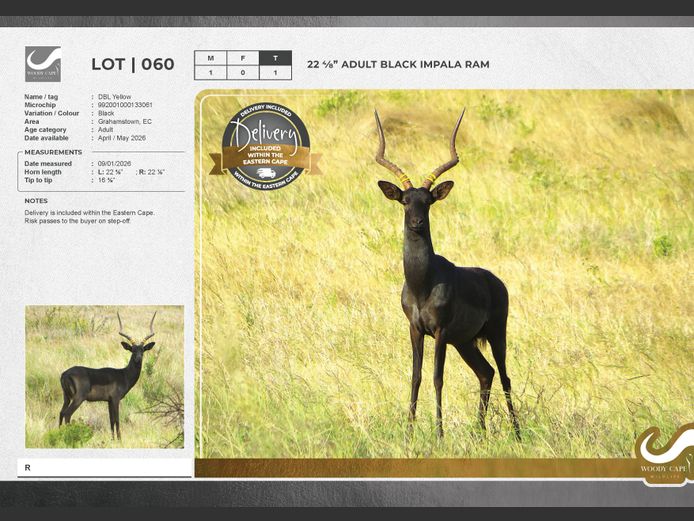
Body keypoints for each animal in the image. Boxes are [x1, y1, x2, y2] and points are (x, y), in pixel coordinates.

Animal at [59, 311, 157, 440]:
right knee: (67, 414)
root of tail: (64, 374)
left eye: (143, 350)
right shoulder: (115, 399)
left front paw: (113, 439)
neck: (124, 375)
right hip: (78, 398)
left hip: (66, 397)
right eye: (132, 350)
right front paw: (119, 440)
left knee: (61, 412)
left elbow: (111, 421)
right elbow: (117, 420)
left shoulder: (109, 401)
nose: (138, 359)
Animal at [374, 109, 521, 440]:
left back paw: (519, 433)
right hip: (465, 342)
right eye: (405, 200)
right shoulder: (415, 329)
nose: (416, 223)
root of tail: (496, 282)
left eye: (428, 201)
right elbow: (415, 377)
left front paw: (439, 434)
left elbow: (437, 378)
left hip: (496, 333)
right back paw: (479, 431)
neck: (422, 284)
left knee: (505, 376)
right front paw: (409, 433)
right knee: (486, 373)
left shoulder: (439, 331)